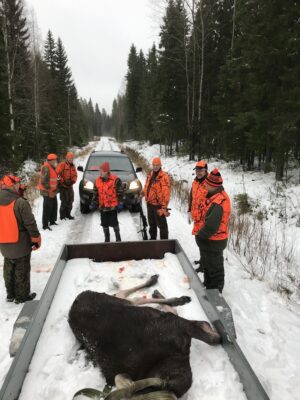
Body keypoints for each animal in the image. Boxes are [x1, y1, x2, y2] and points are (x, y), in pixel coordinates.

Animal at [69, 274, 221, 398]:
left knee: (129, 296)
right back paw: (167, 295)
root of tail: (76, 300)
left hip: (122, 303)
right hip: (121, 303)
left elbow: (212, 337)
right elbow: (212, 337)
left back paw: (167, 293)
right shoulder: (177, 325)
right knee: (131, 297)